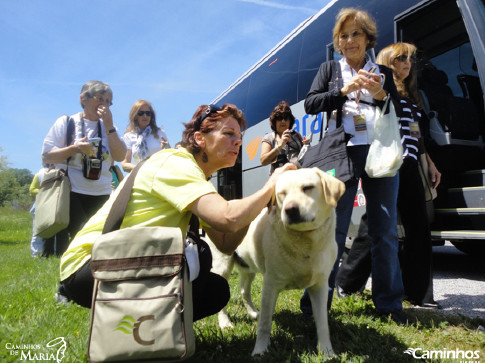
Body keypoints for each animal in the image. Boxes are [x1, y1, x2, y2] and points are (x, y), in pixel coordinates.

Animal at [211, 168, 344, 358]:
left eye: (308, 187)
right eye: (282, 194)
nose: (291, 210)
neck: (305, 243)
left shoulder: (320, 285)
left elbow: (323, 324)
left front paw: (327, 352)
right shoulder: (270, 284)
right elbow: (265, 324)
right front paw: (260, 350)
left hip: (248, 267)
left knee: (244, 290)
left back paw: (253, 312)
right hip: (222, 265)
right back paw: (225, 322)